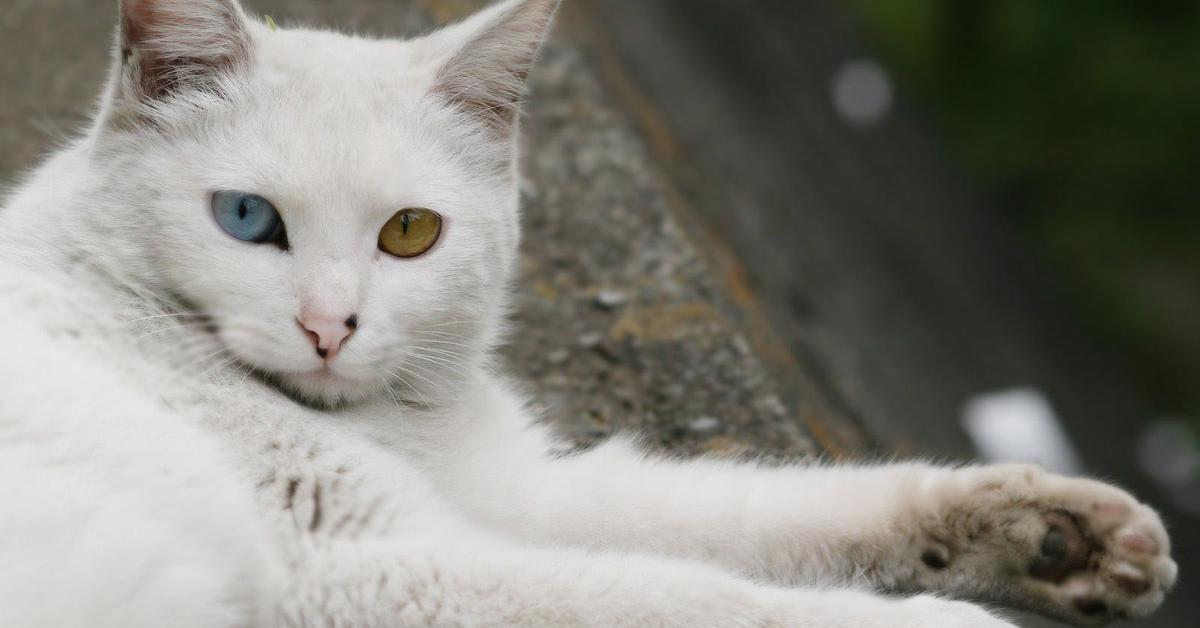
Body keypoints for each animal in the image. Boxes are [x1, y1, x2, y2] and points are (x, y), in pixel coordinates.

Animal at [0, 1, 1180, 628]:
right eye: (247, 218)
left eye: (410, 234)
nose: (329, 327)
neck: (395, 427)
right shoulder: (374, 571)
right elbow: (692, 599)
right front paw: (952, 617)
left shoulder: (521, 493)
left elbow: (758, 516)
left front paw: (1059, 536)